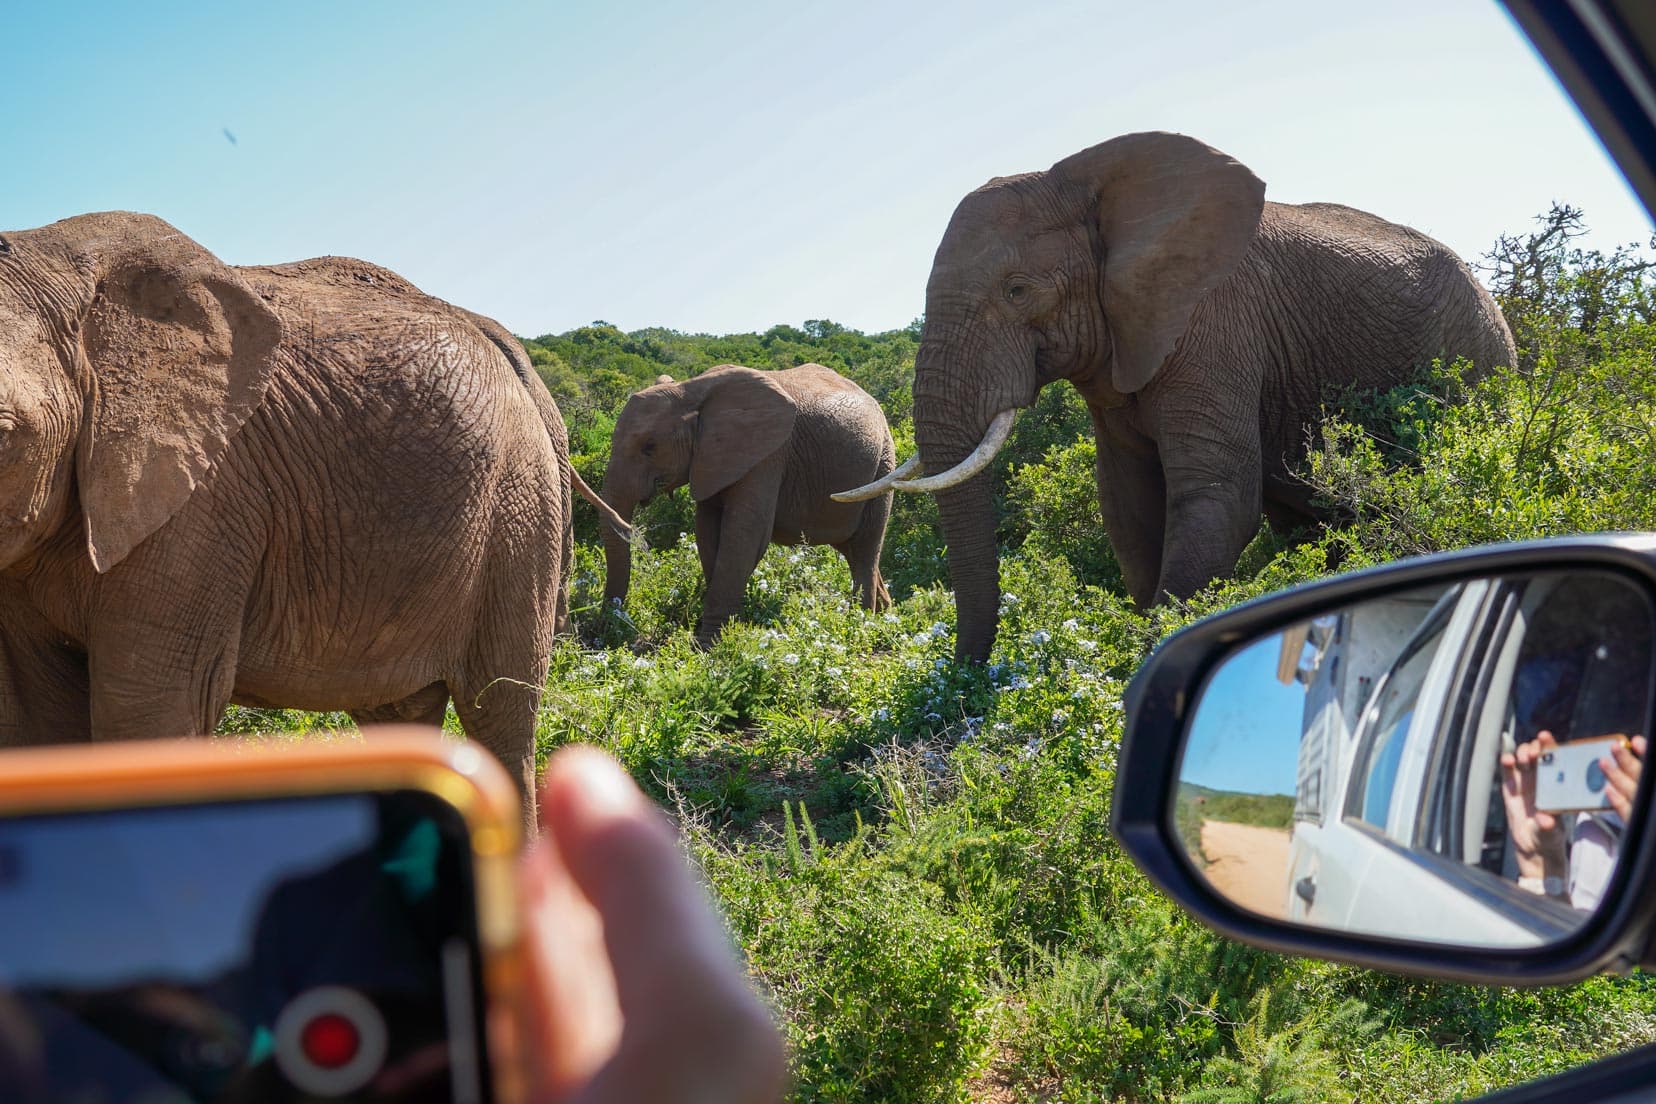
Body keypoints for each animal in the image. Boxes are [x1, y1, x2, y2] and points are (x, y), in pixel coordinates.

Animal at [0, 211, 625, 820]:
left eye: (3, 435)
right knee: (397, 713)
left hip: (520, 510)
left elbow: (145, 714)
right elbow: (39, 719)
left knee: (499, 711)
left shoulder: (204, 503)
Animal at [606, 362, 900, 642]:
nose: (610, 621)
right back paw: (885, 615)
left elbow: (745, 536)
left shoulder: (767, 456)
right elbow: (707, 531)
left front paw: (708, 644)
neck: (690, 390)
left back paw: (862, 623)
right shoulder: (710, 460)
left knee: (865, 549)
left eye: (650, 447)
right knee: (851, 549)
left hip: (883, 465)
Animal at [834, 132, 1516, 662]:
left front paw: (1152, 649)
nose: (965, 676)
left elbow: (1219, 498)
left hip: (1478, 359)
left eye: (1018, 290)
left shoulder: (1216, 323)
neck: (1089, 185)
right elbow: (1129, 507)